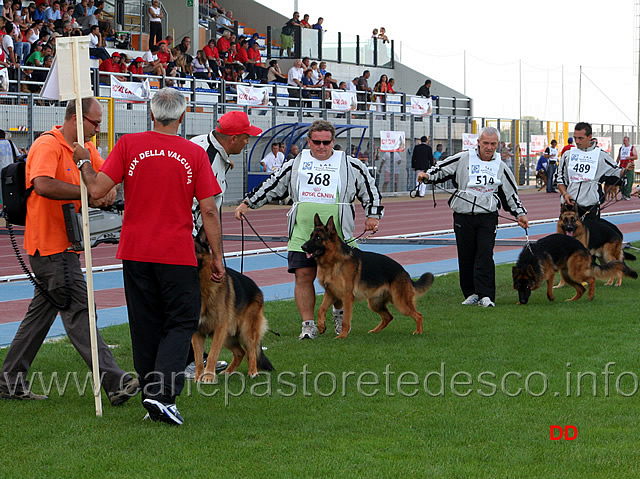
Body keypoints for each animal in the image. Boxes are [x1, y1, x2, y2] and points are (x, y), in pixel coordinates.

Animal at [189, 228, 272, 382]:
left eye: (194, 249)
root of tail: (257, 289)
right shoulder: (197, 332)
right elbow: (198, 358)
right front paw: (198, 377)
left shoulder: (219, 328)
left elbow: (212, 354)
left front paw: (208, 376)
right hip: (228, 336)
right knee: (240, 352)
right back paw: (228, 372)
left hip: (245, 330)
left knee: (251, 350)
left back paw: (253, 372)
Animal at [302, 216, 436, 340]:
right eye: (310, 236)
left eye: (318, 238)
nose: (303, 247)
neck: (333, 261)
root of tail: (404, 272)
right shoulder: (330, 294)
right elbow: (321, 309)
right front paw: (321, 326)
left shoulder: (347, 297)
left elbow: (345, 320)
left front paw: (342, 335)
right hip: (374, 303)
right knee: (389, 317)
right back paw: (375, 331)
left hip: (400, 303)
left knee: (418, 315)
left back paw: (418, 332)